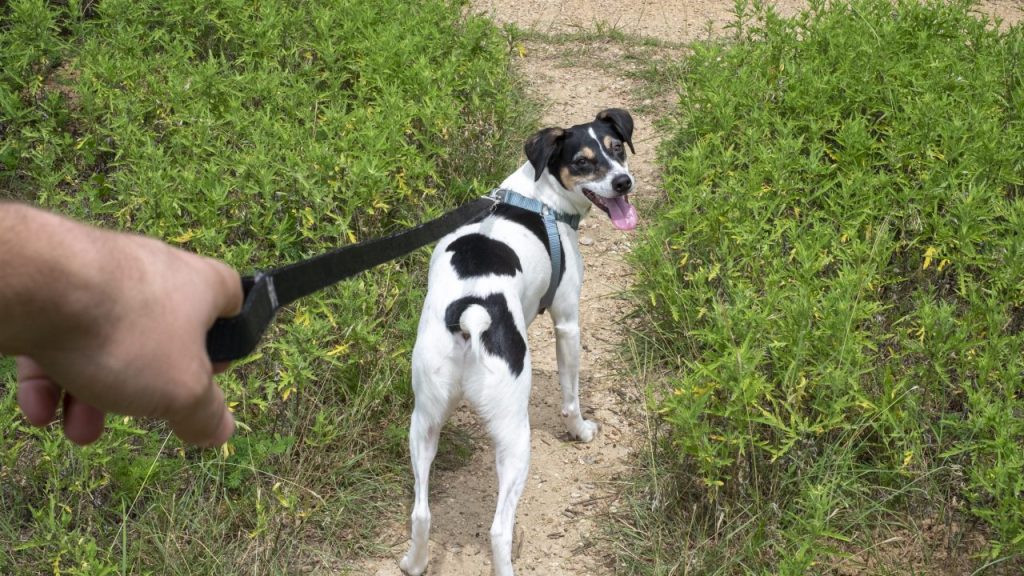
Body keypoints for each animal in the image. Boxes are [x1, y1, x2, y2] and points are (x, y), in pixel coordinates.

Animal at [397, 108, 630, 573]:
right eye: (582, 162)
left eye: (617, 149)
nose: (623, 183)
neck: (540, 196)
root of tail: (471, 310)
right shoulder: (568, 322)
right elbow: (570, 397)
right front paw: (581, 431)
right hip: (514, 434)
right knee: (499, 530)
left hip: (424, 419)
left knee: (421, 512)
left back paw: (415, 562)